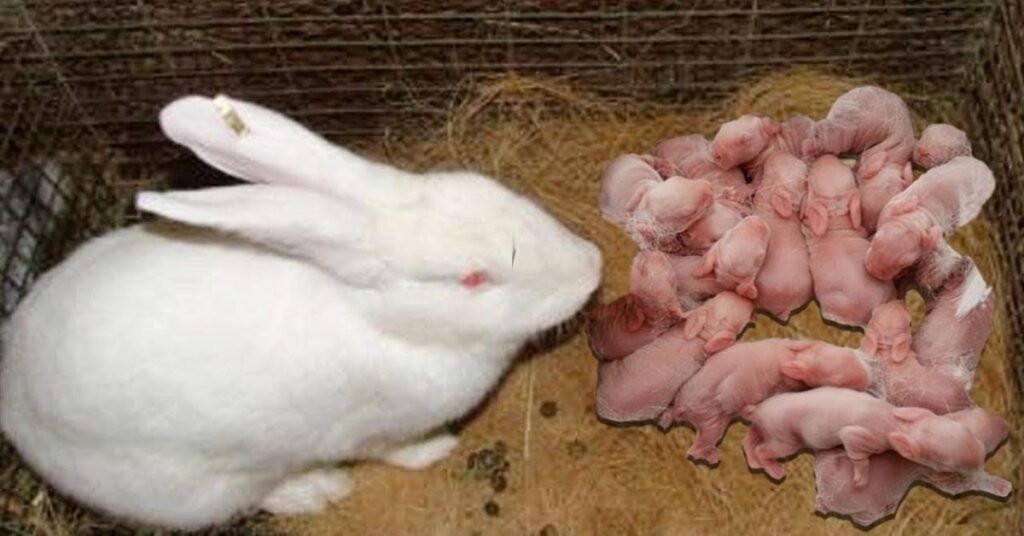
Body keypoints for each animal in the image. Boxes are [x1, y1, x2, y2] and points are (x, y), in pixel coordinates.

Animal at [0, 95, 603, 530]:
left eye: (494, 189)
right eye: (474, 279)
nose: (592, 268)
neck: (378, 317)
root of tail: (15, 404)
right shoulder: (377, 428)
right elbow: (397, 449)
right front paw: (439, 450)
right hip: (200, 487)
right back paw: (316, 489)